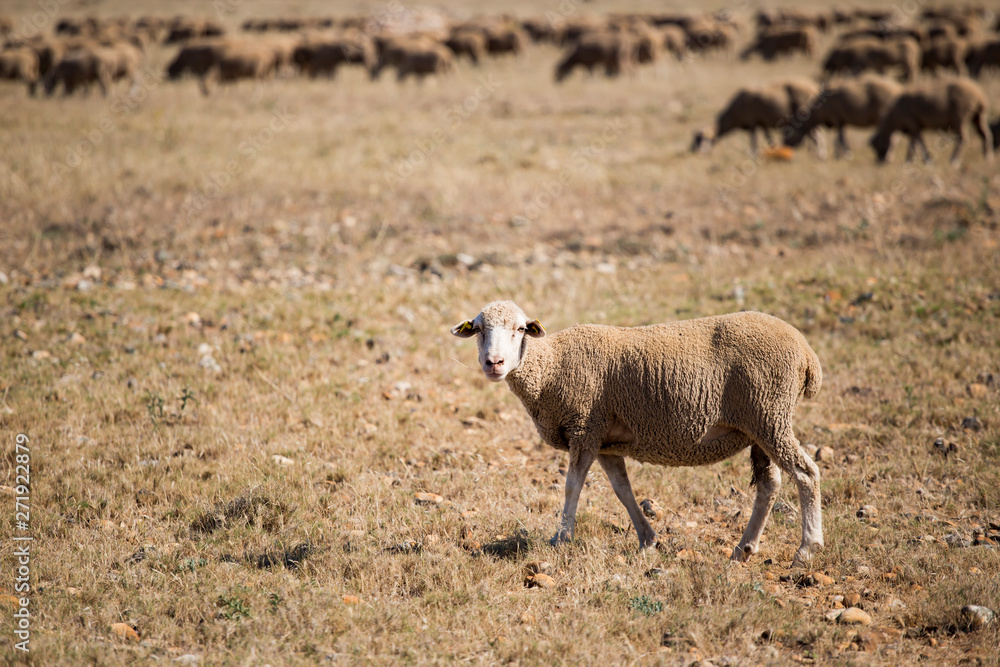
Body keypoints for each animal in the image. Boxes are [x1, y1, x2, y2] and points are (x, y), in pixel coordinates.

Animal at [451, 301, 824, 566]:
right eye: (480, 330)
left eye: (519, 330)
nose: (494, 363)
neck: (551, 368)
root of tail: (807, 353)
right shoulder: (605, 442)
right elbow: (622, 490)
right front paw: (648, 539)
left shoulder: (584, 427)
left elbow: (572, 487)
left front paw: (561, 538)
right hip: (760, 425)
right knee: (770, 484)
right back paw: (744, 548)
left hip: (769, 415)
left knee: (805, 473)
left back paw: (806, 550)